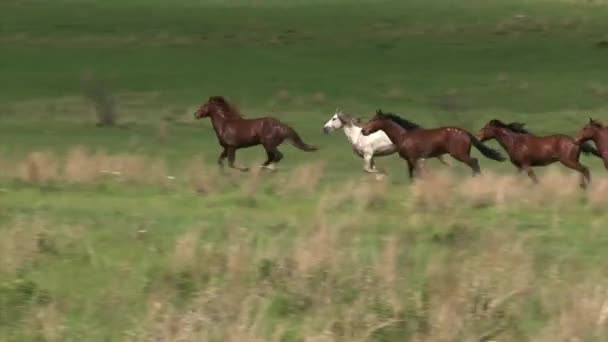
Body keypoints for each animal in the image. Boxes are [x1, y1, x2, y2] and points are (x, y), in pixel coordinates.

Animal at [358, 110, 506, 180]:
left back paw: (476, 177)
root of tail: (465, 133)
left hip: (460, 154)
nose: (363, 131)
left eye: (373, 120)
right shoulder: (410, 160)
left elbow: (419, 174)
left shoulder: (414, 158)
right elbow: (412, 175)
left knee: (474, 162)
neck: (403, 136)